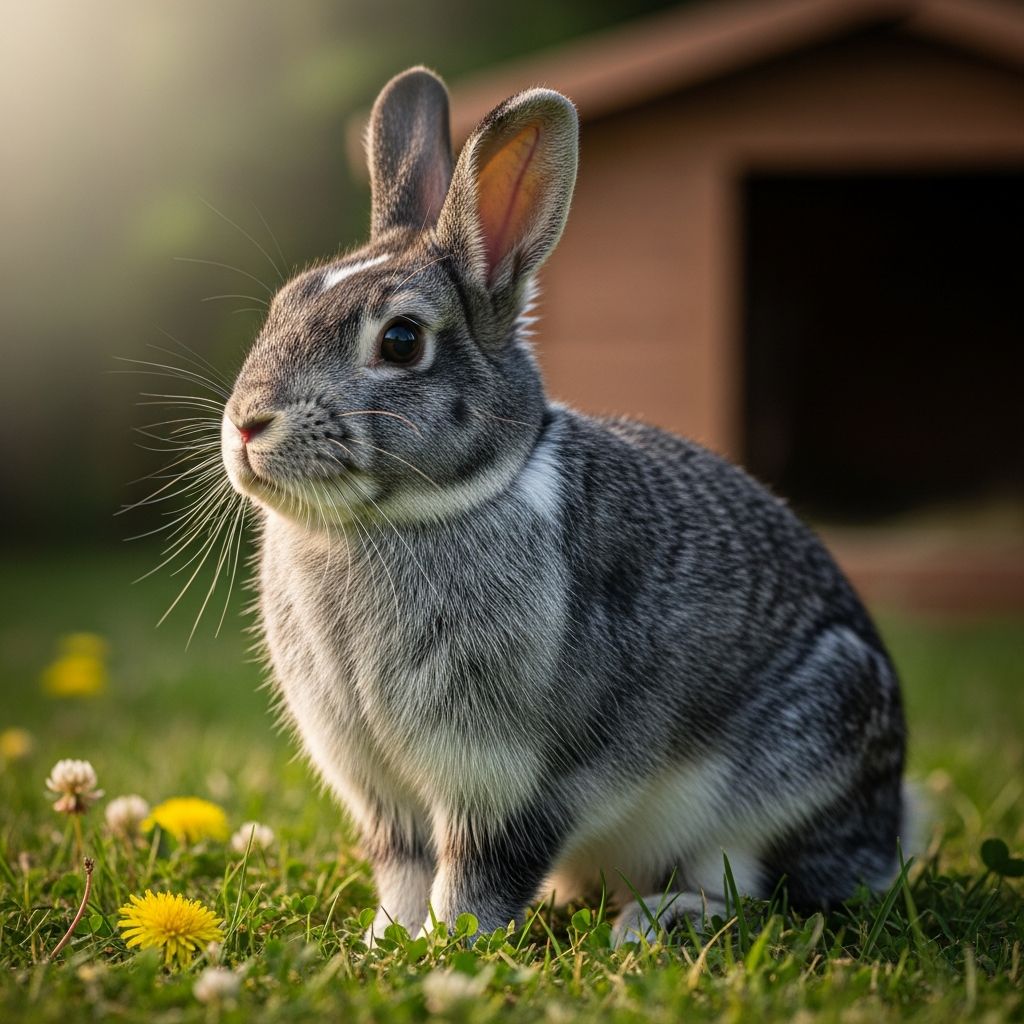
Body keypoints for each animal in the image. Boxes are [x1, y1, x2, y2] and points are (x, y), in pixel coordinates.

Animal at [220, 66, 907, 944]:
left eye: (402, 342)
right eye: (283, 304)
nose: (248, 423)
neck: (399, 517)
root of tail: (887, 832)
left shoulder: (510, 777)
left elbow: (478, 870)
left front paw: (450, 944)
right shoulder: (383, 791)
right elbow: (404, 869)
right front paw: (385, 941)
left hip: (790, 768)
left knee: (749, 882)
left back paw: (658, 919)